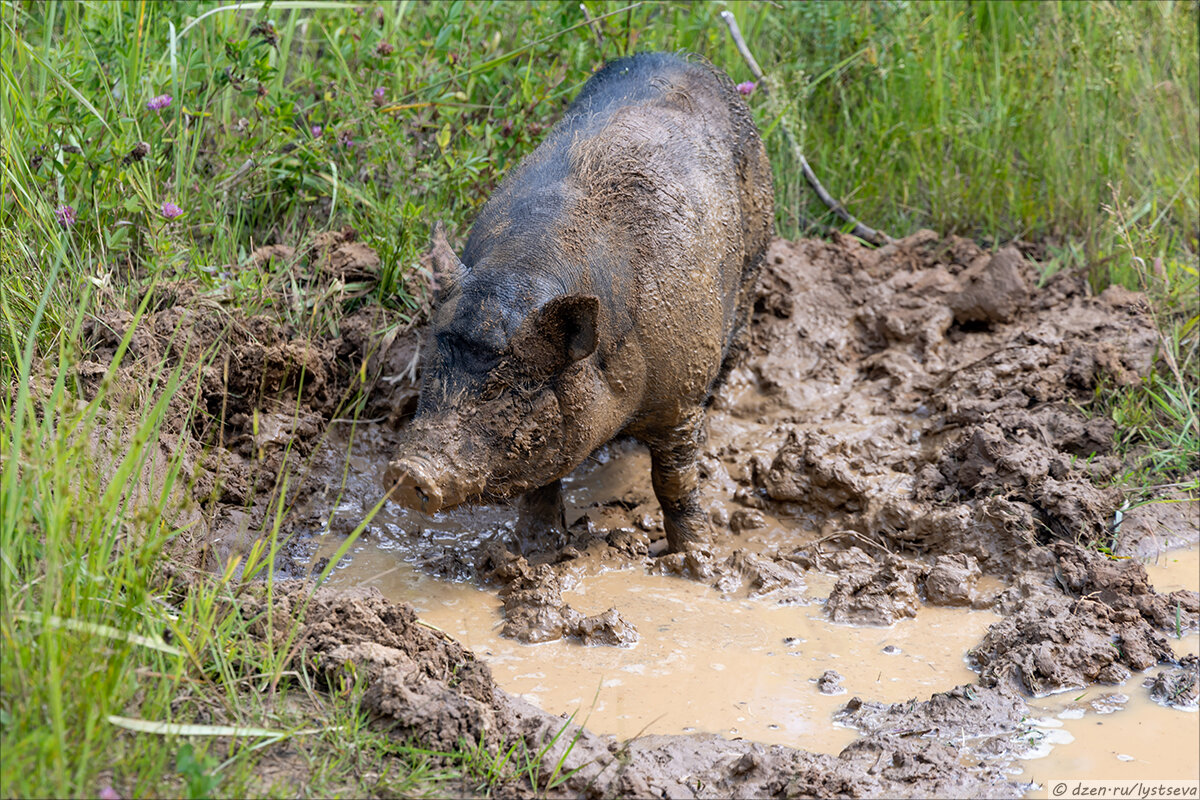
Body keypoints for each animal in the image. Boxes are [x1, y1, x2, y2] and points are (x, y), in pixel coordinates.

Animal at [386, 48, 777, 551]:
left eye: (505, 389)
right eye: (435, 364)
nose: (406, 472)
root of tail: (687, 57)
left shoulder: (681, 397)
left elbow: (673, 483)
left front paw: (694, 555)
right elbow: (540, 482)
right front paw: (534, 549)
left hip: (757, 250)